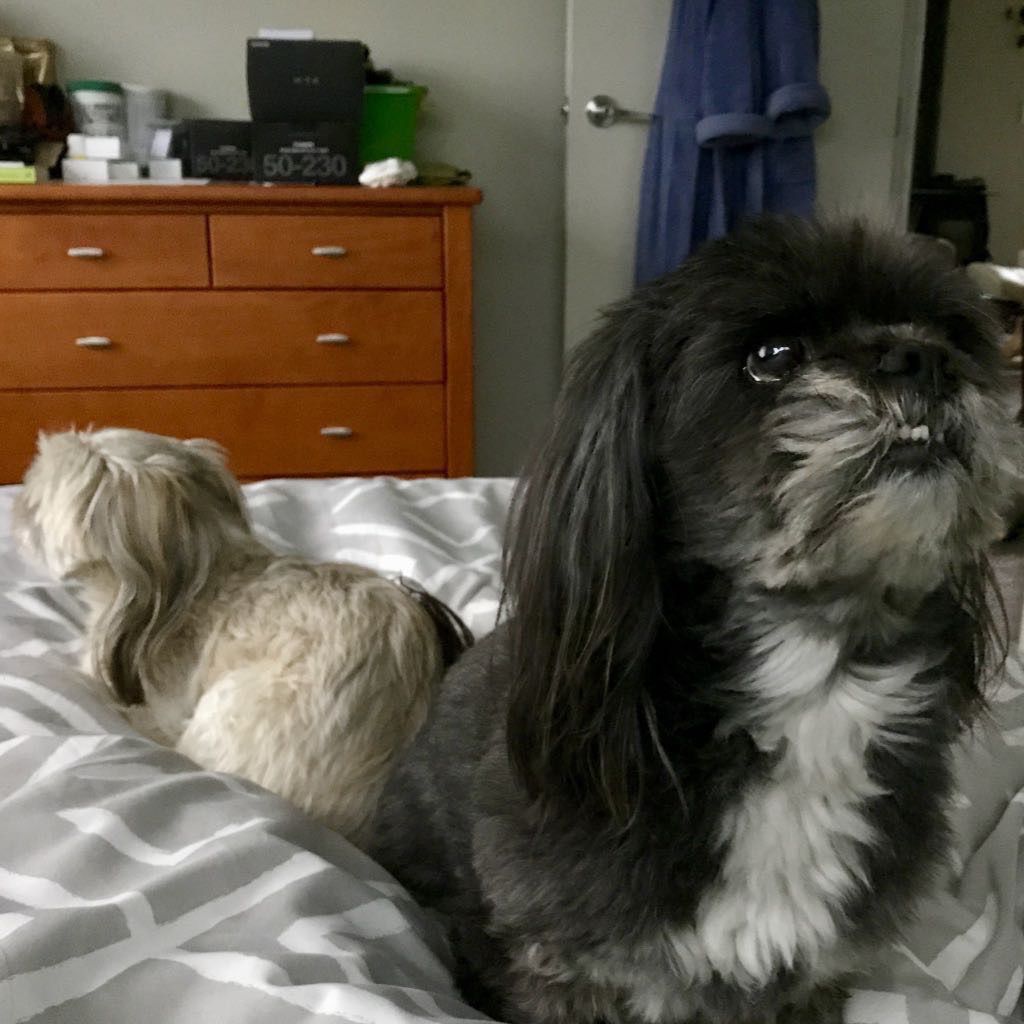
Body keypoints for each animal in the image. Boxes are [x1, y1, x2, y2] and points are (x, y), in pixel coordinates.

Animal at [372, 218, 1019, 1024]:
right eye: (773, 357)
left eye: (954, 334)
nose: (923, 358)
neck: (814, 691)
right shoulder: (557, 967)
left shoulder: (813, 981)